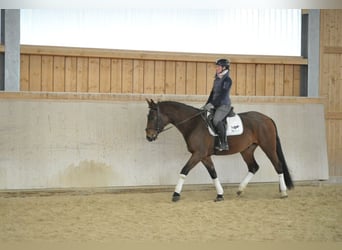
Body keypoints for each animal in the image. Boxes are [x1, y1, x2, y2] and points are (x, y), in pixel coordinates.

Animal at [145, 98, 294, 202]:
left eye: (152, 117)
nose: (149, 137)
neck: (194, 124)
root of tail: (267, 118)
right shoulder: (204, 156)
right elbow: (213, 173)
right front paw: (220, 195)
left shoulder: (198, 154)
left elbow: (184, 171)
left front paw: (176, 194)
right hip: (247, 150)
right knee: (253, 167)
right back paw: (240, 190)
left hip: (268, 146)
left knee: (278, 166)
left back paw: (284, 192)